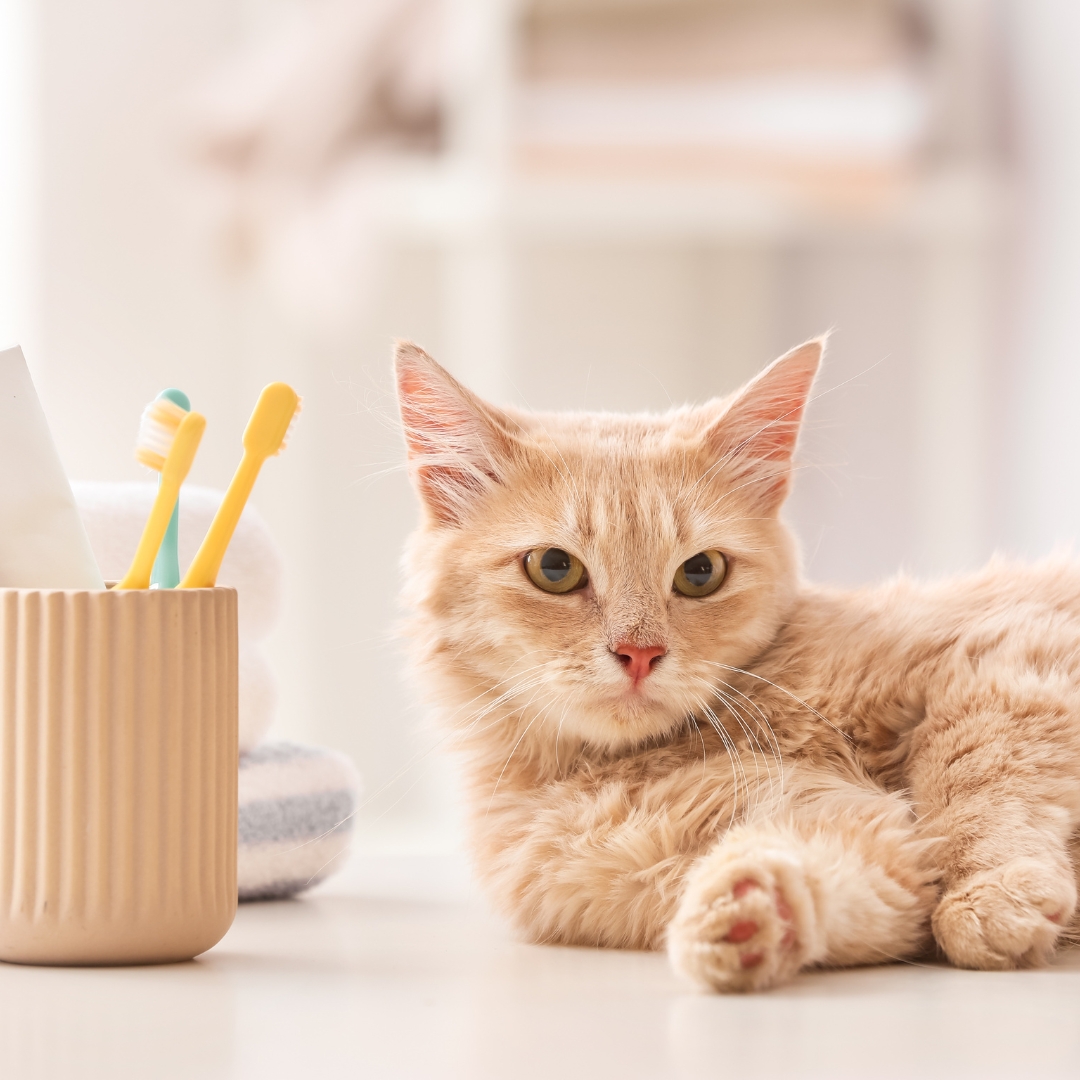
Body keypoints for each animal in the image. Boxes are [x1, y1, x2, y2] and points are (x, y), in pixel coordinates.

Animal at [393, 339, 1080, 993]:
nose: (639, 654)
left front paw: (991, 895)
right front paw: (747, 913)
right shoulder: (847, 835)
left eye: (701, 573)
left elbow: (977, 789)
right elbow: (853, 877)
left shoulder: (1004, 661)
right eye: (554, 569)